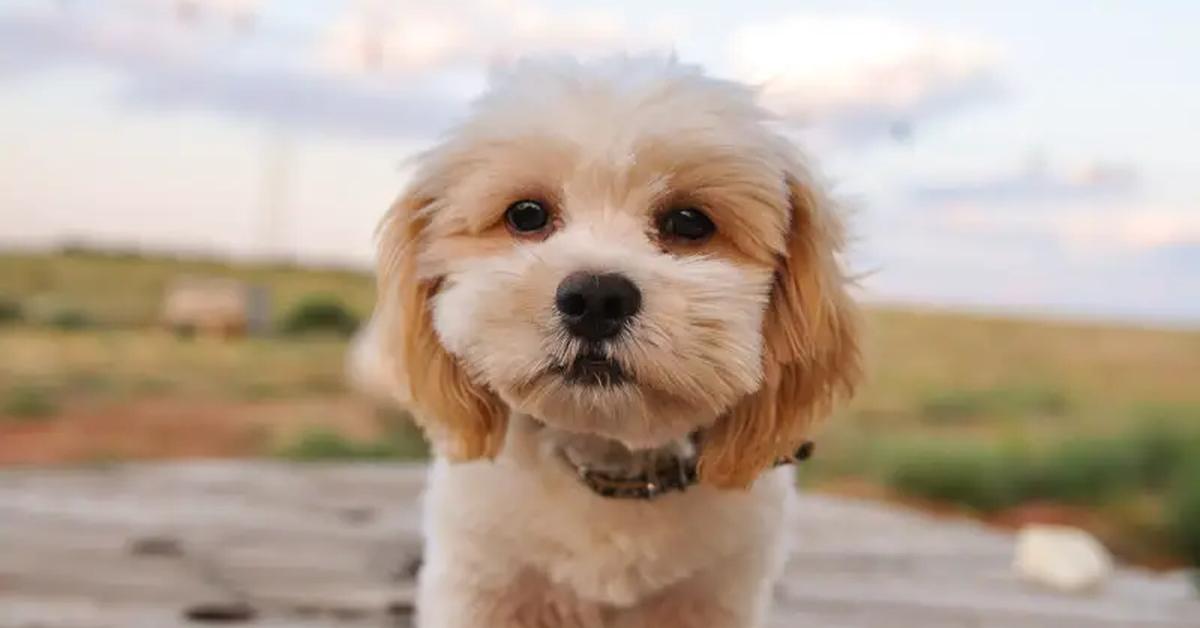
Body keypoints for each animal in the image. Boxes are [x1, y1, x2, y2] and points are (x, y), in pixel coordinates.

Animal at [369, 55, 859, 628]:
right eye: (526, 214)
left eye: (689, 222)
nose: (596, 297)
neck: (613, 472)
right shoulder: (480, 586)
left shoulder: (717, 599)